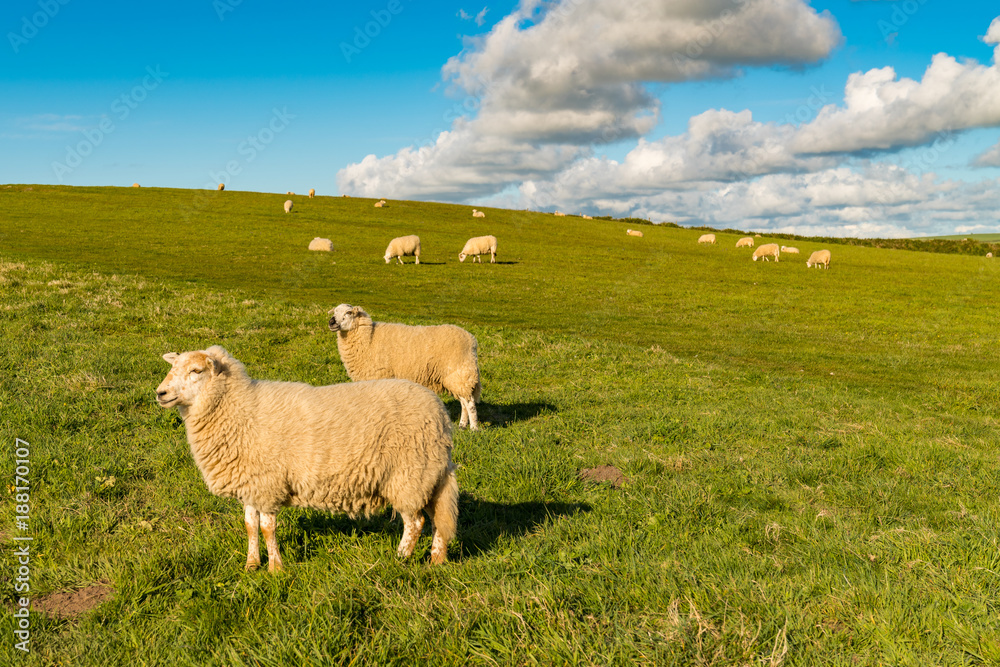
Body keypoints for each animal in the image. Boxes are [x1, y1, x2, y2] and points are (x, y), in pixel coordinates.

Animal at [156, 346, 458, 570]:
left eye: (196, 371)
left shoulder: (268, 483)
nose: (160, 393)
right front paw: (251, 565)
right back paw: (436, 560)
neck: (240, 410)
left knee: (415, 522)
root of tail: (441, 416)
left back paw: (400, 557)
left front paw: (275, 568)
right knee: (438, 518)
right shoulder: (251, 483)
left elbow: (266, 527)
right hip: (428, 475)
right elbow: (250, 525)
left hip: (408, 474)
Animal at [329, 304, 481, 430]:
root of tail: (472, 340)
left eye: (348, 312)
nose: (331, 321)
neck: (369, 339)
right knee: (463, 402)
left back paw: (474, 428)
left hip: (460, 373)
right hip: (457, 377)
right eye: (335, 311)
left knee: (470, 403)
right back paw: (462, 425)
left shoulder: (377, 376)